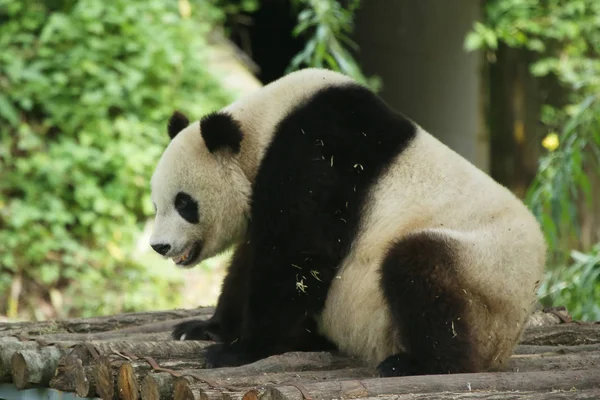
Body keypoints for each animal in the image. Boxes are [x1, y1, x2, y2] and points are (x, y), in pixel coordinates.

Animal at [148, 67, 548, 376]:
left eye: (184, 203)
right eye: (156, 204)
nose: (159, 246)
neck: (264, 126)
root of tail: (508, 340)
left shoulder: (319, 155)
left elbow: (298, 257)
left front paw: (240, 349)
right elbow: (250, 261)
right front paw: (205, 329)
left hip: (484, 274)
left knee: (420, 268)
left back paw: (417, 363)